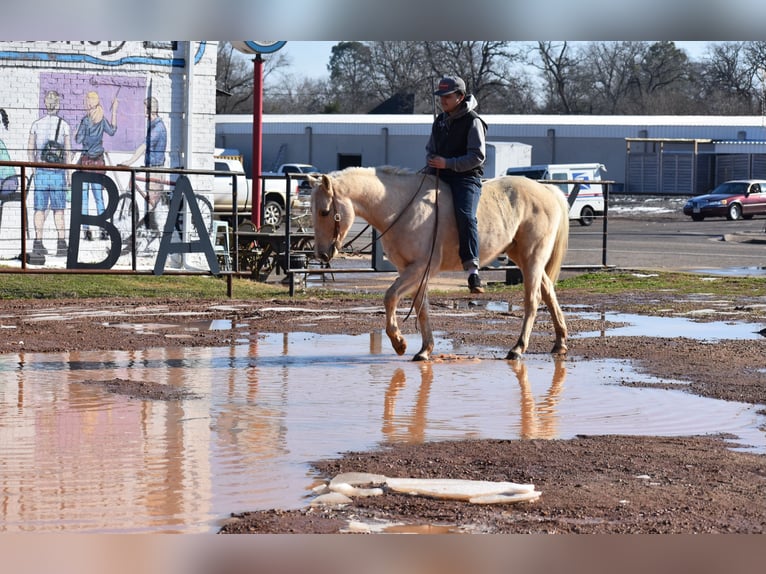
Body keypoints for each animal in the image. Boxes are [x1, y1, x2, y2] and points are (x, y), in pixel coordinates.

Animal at [308, 166, 570, 361]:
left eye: (324, 212)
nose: (321, 254)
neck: (401, 207)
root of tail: (547, 189)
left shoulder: (421, 268)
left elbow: (390, 297)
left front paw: (399, 343)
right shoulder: (411, 270)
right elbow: (421, 307)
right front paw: (425, 349)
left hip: (533, 257)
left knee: (533, 300)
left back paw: (518, 348)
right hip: (524, 258)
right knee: (548, 292)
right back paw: (560, 342)